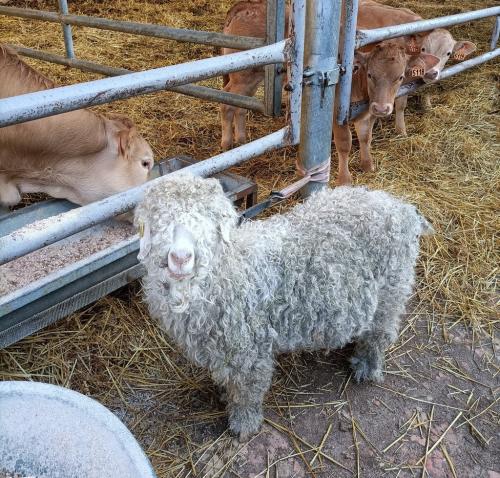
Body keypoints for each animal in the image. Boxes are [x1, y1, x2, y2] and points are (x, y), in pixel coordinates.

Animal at [135, 174, 432, 442]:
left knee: (380, 333)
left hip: (391, 291)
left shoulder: (249, 352)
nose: (180, 257)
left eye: (210, 221)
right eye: (159, 219)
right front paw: (224, 394)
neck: (230, 269)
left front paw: (244, 426)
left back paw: (366, 367)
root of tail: (403, 209)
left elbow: (248, 393)